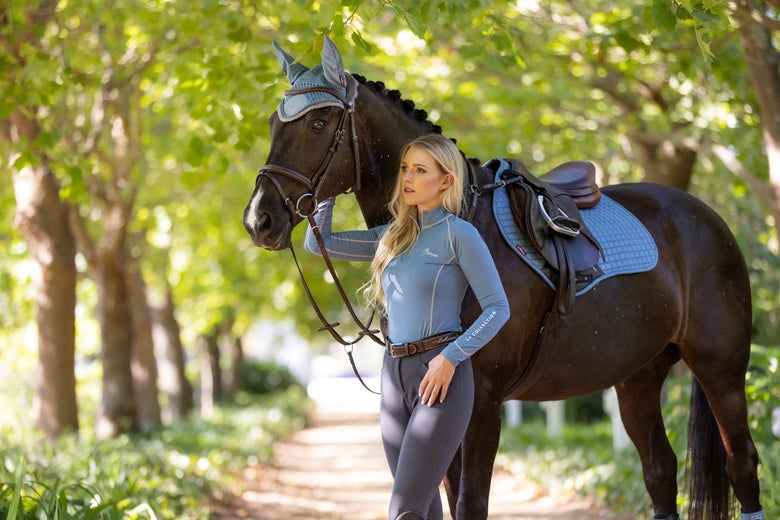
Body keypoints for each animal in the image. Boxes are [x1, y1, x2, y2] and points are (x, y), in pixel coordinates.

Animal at [242, 37, 763, 520]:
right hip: (638, 377)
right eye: (272, 124)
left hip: (720, 370)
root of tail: (707, 219)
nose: (259, 220)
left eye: (317, 124)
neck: (458, 214)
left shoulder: (482, 403)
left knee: (742, 463)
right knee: (659, 469)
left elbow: (472, 503)